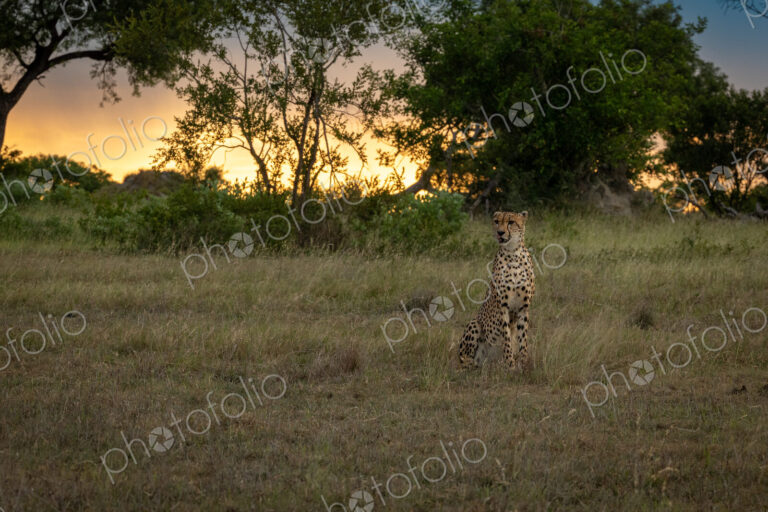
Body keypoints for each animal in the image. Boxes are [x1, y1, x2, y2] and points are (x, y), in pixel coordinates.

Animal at [458, 211, 535, 372]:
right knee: (465, 360)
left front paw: (523, 365)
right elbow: (506, 339)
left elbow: (522, 339)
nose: (500, 232)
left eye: (511, 222)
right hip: (475, 323)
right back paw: (473, 367)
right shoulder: (503, 307)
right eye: (496, 221)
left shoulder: (523, 308)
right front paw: (510, 365)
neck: (513, 253)